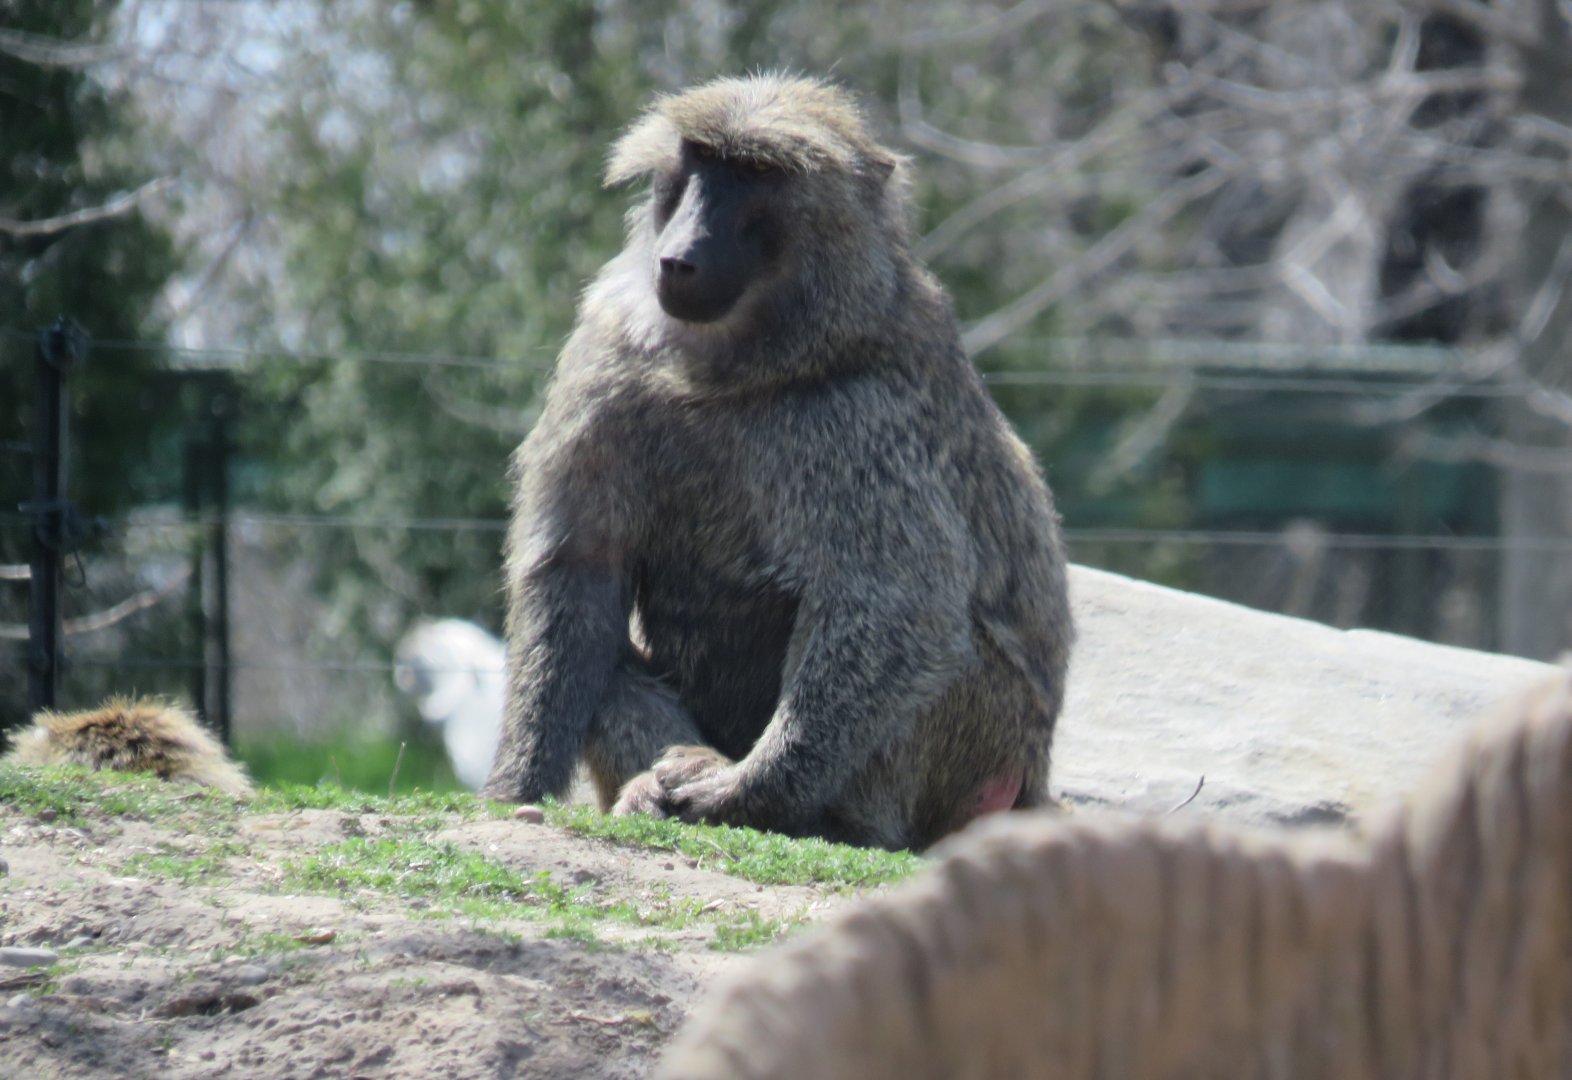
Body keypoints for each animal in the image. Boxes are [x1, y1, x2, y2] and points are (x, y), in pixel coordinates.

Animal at [481, 74, 1072, 851]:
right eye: (700, 163)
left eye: (757, 175)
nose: (679, 258)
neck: (732, 363)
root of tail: (1030, 778)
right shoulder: (607, 353)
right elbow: (578, 567)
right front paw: (514, 788)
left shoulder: (851, 415)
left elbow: (896, 603)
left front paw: (746, 792)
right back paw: (662, 776)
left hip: (984, 737)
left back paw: (818, 814)